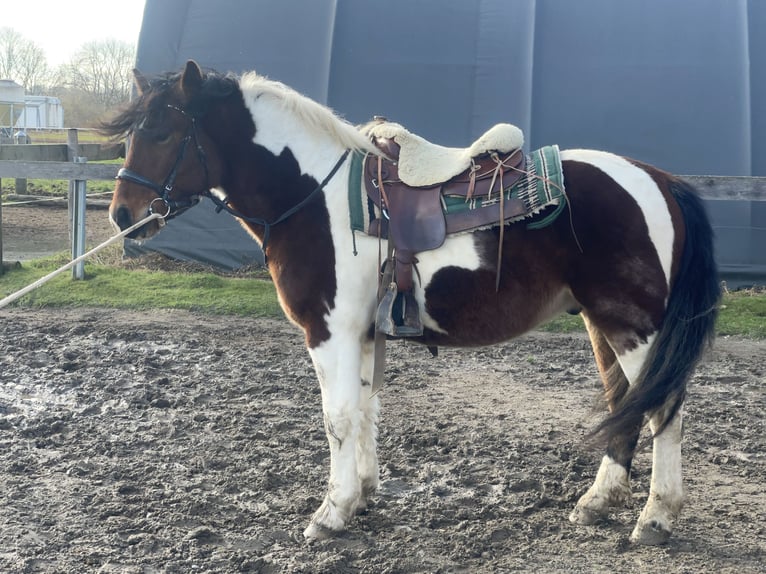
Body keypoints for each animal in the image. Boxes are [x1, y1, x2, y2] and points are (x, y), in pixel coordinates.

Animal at [103, 60, 728, 548]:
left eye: (162, 133)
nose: (122, 215)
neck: (313, 194)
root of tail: (660, 180)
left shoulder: (328, 332)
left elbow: (337, 417)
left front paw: (330, 513)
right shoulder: (360, 335)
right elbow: (365, 410)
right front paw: (361, 496)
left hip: (634, 327)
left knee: (663, 410)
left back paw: (655, 518)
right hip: (603, 324)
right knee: (625, 404)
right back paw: (598, 503)